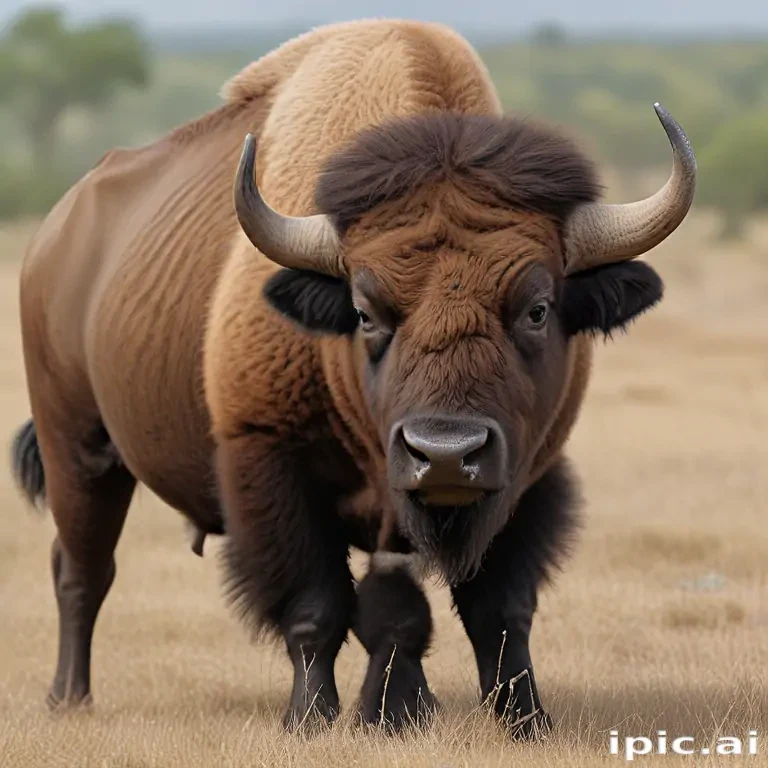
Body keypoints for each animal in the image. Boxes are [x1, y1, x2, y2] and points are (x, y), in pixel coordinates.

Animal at [11, 19, 695, 736]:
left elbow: (486, 610)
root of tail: (53, 237)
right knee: (82, 568)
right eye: (365, 313)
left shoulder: (526, 478)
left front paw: (507, 718)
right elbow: (321, 609)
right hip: (78, 449)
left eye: (537, 308)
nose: (445, 454)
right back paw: (69, 697)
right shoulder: (271, 464)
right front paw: (315, 718)